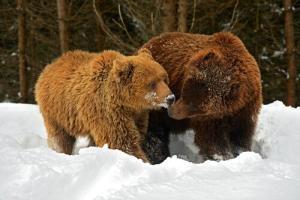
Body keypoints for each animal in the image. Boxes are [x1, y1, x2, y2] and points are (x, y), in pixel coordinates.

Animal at [35, 48, 175, 162]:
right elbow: (121, 141)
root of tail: (50, 66)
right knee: (60, 138)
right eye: (152, 83)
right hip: (57, 113)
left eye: (164, 78)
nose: (170, 98)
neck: (127, 102)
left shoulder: (139, 114)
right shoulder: (107, 110)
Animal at [142, 32, 262, 164]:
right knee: (153, 130)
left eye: (195, 104)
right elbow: (212, 140)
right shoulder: (210, 119)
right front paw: (222, 158)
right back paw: (159, 156)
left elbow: (241, 137)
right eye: (184, 90)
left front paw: (241, 153)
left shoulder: (245, 111)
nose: (171, 112)